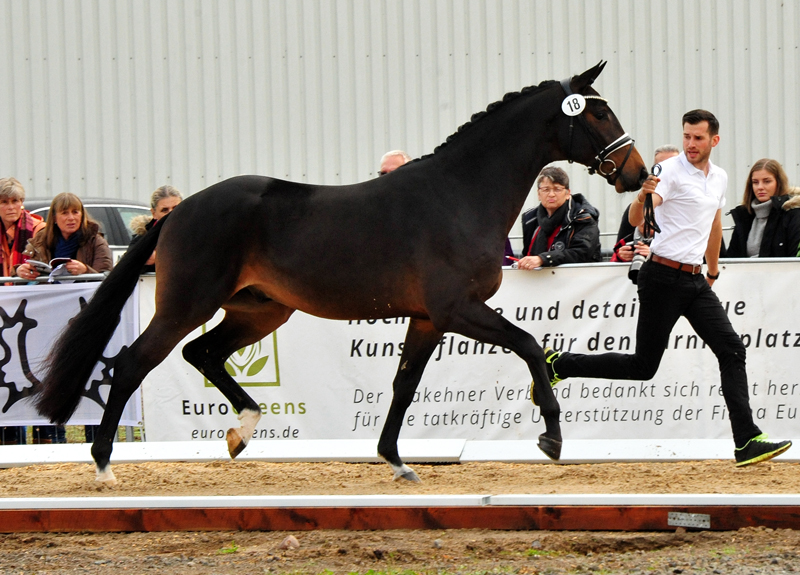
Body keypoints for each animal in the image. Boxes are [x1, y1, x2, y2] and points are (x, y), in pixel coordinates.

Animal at [34, 62, 648, 486]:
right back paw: (105, 466)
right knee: (133, 362)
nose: (637, 174)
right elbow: (528, 344)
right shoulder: (458, 310)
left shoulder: (429, 319)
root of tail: (176, 212)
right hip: (187, 305)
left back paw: (241, 431)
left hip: (260, 310)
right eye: (596, 113)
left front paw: (396, 462)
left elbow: (404, 385)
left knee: (201, 353)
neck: (459, 195)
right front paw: (551, 436)